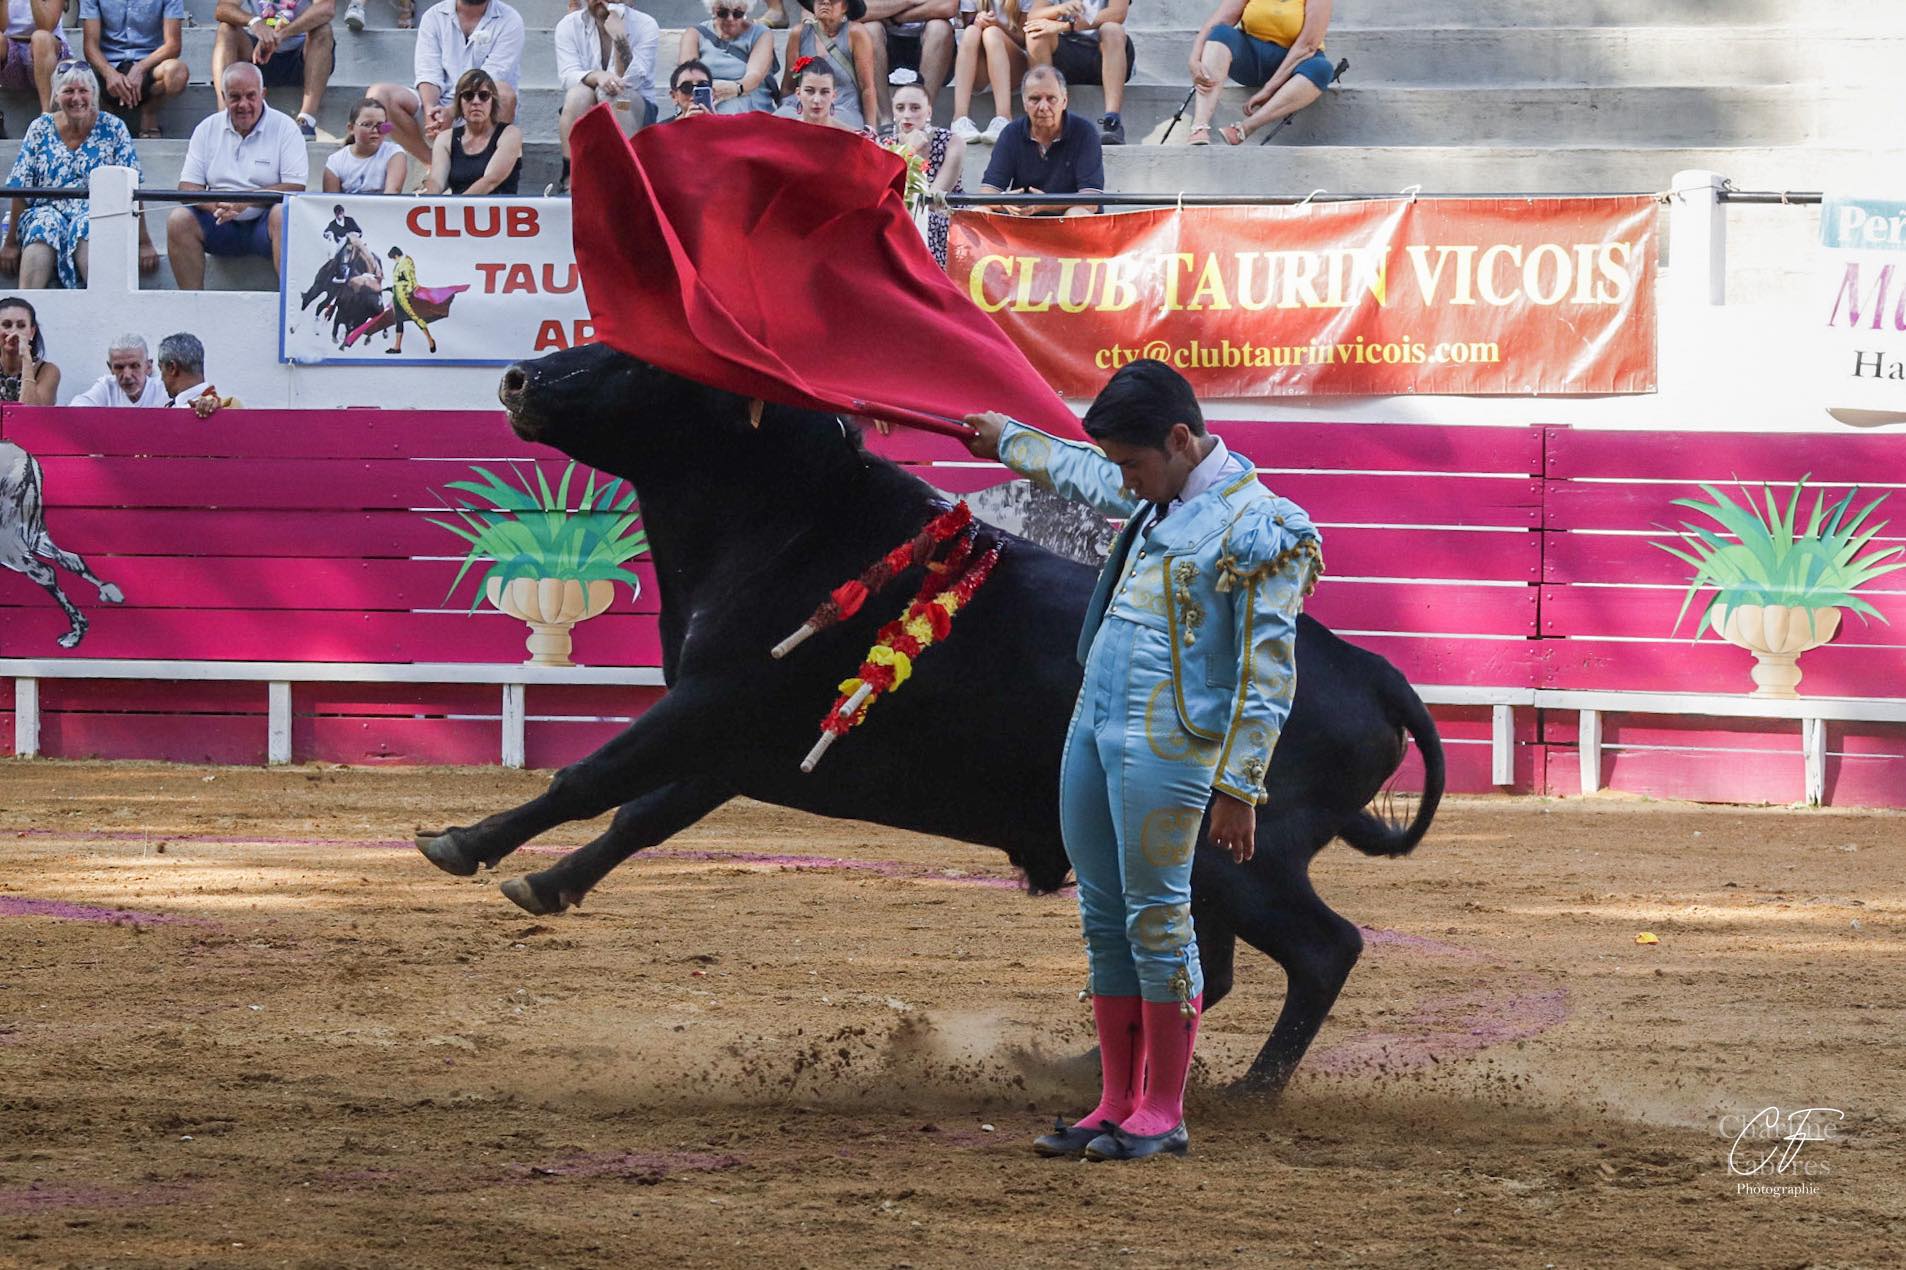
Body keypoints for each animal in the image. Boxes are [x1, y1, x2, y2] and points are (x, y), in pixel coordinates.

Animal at [0, 441, 124, 648]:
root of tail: (27, 457)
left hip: (8, 541)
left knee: (45, 572)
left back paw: (75, 634)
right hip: (32, 533)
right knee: (71, 559)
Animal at [414, 344, 1446, 1095]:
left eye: (642, 365)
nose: (518, 378)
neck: (787, 520)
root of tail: (1372, 669)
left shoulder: (706, 705)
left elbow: (588, 774)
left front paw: (463, 843)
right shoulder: (725, 748)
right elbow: (637, 814)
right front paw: (545, 884)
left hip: (1239, 858)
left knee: (1321, 950)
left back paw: (1249, 1093)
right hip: (1203, 869)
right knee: (1207, 968)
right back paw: (1081, 1067)